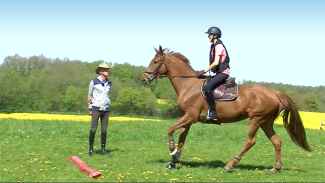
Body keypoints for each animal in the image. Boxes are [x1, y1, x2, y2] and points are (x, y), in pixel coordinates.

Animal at [140, 46, 310, 172]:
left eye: (156, 61)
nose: (144, 79)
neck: (188, 85)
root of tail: (275, 93)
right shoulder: (187, 118)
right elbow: (182, 138)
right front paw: (174, 160)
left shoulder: (190, 116)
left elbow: (170, 129)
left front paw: (171, 150)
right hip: (266, 122)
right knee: (277, 141)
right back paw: (276, 168)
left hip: (256, 119)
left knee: (250, 141)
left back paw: (230, 164)